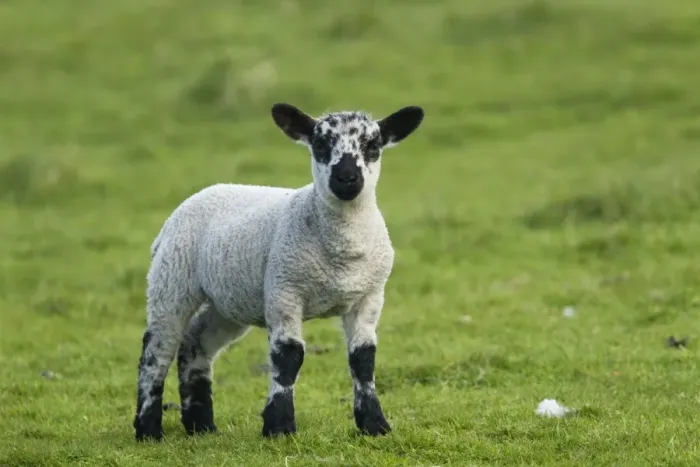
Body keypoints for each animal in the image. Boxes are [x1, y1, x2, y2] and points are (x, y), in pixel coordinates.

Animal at [133, 102, 424, 441]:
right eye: (320, 145)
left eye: (372, 146)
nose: (347, 178)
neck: (341, 253)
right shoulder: (284, 289)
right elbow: (289, 356)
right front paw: (280, 426)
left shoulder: (370, 295)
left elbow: (363, 358)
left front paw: (375, 425)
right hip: (172, 279)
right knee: (158, 349)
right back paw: (148, 429)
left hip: (229, 301)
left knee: (195, 344)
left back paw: (201, 425)